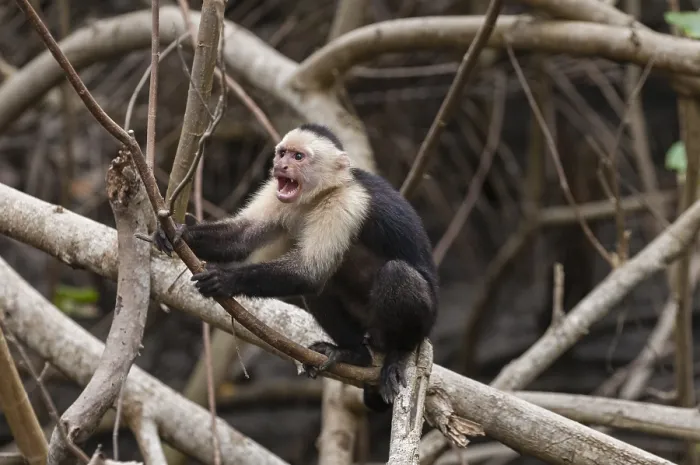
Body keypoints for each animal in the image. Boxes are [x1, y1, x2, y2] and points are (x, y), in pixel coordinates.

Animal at [152, 123, 439, 411]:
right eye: (283, 153)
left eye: (298, 157)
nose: (281, 166)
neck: (323, 192)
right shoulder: (276, 192)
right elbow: (241, 237)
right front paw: (178, 233)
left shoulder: (346, 202)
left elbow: (309, 273)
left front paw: (224, 279)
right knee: (325, 288)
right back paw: (355, 354)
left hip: (424, 321)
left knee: (397, 274)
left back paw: (399, 352)